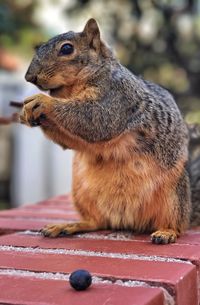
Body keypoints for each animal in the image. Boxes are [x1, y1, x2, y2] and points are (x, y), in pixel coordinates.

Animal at [20, 18, 191, 242]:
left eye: (66, 49)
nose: (29, 77)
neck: (72, 89)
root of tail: (126, 222)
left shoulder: (116, 97)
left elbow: (95, 119)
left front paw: (43, 102)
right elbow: (71, 140)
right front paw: (26, 113)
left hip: (173, 196)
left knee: (177, 224)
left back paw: (166, 232)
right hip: (82, 194)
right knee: (96, 222)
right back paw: (69, 225)